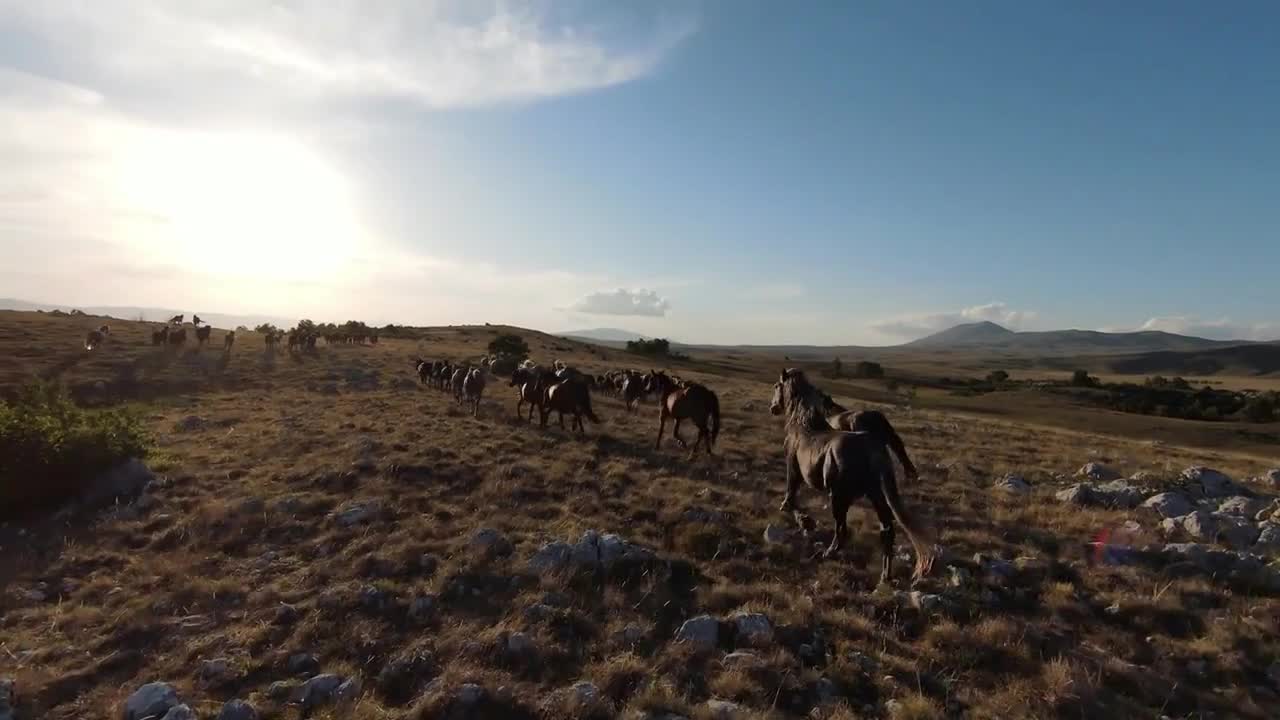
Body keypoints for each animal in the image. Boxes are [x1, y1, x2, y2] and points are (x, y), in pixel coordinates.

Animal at [762, 368, 936, 584]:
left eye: (776, 386)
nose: (773, 407)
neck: (804, 425)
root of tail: (873, 449)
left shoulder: (793, 470)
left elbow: (791, 500)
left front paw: (805, 521)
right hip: (876, 496)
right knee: (886, 532)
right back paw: (885, 576)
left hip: (839, 498)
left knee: (842, 530)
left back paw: (829, 552)